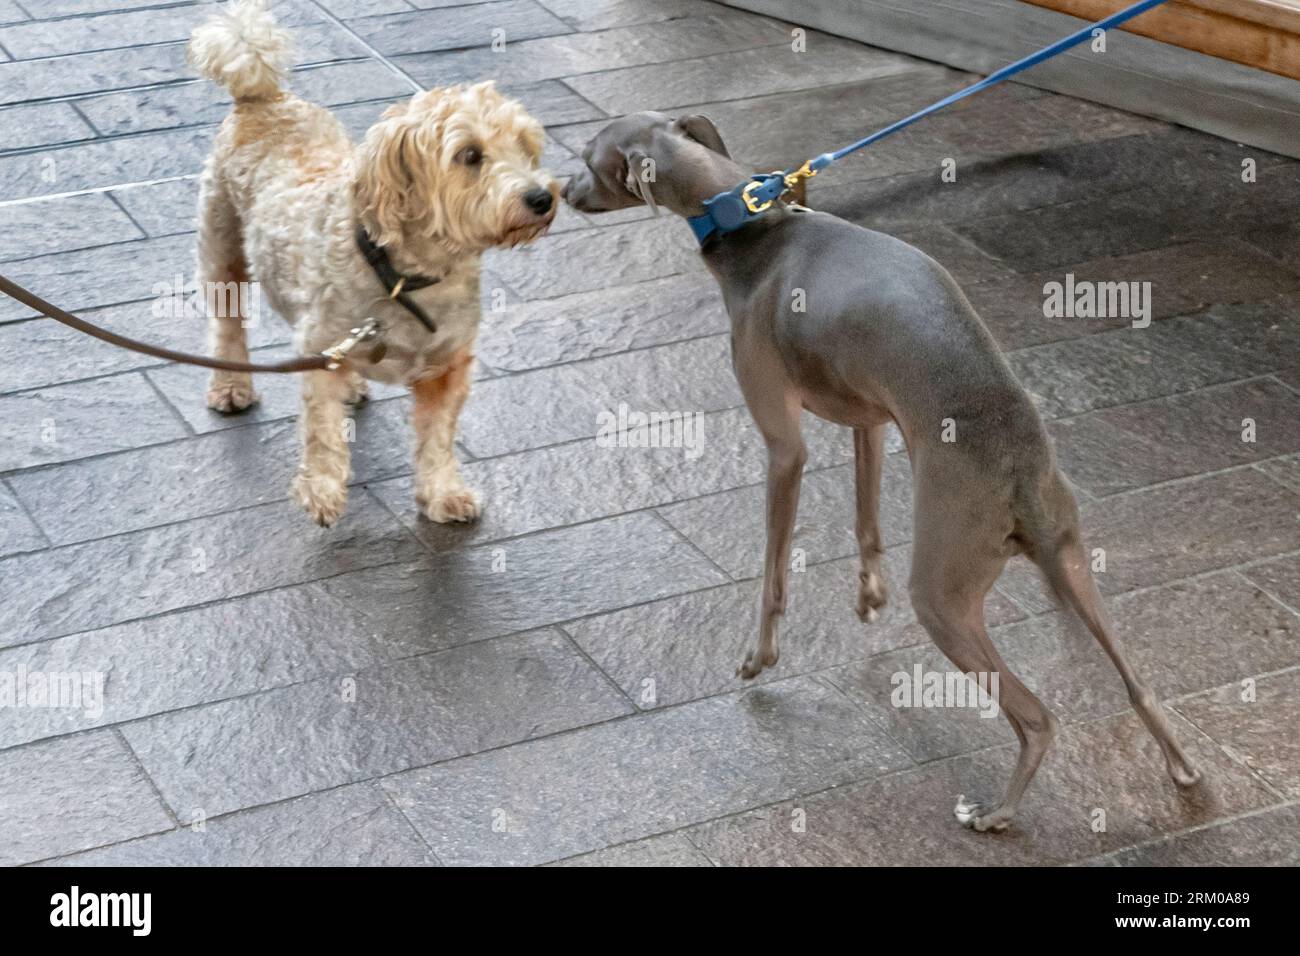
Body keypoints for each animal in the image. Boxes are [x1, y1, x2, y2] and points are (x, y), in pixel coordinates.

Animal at [187, 0, 553, 522]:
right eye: (469, 155)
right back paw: (231, 384)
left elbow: (438, 439)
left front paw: (443, 492)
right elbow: (321, 430)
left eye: (525, 147)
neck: (408, 279)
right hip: (222, 247)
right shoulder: (319, 348)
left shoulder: (448, 367)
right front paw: (321, 488)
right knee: (228, 324)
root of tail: (264, 97)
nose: (542, 197)